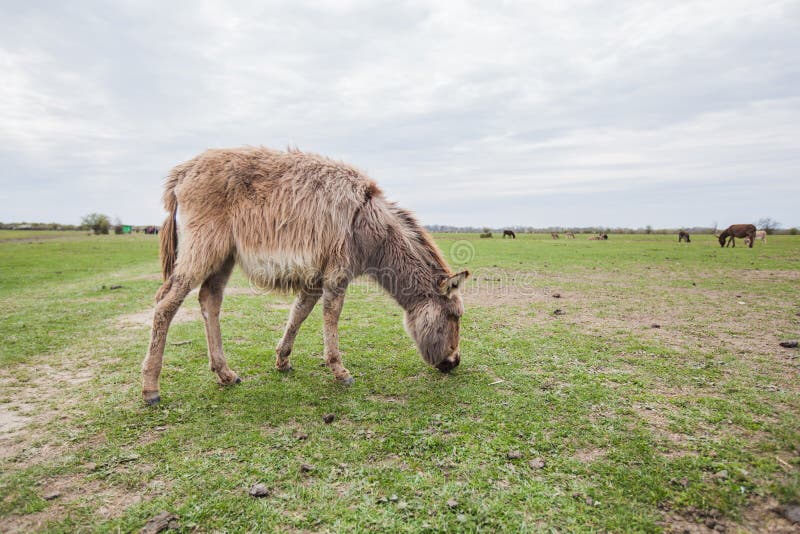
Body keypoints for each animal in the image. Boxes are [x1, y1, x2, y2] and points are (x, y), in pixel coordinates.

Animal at [142, 148, 468, 406]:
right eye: (455, 316)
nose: (454, 363)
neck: (369, 223)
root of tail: (183, 171)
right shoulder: (337, 273)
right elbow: (331, 316)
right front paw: (340, 371)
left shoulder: (315, 278)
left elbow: (299, 313)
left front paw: (282, 360)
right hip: (203, 250)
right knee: (165, 305)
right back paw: (150, 388)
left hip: (223, 257)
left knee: (209, 301)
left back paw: (225, 374)